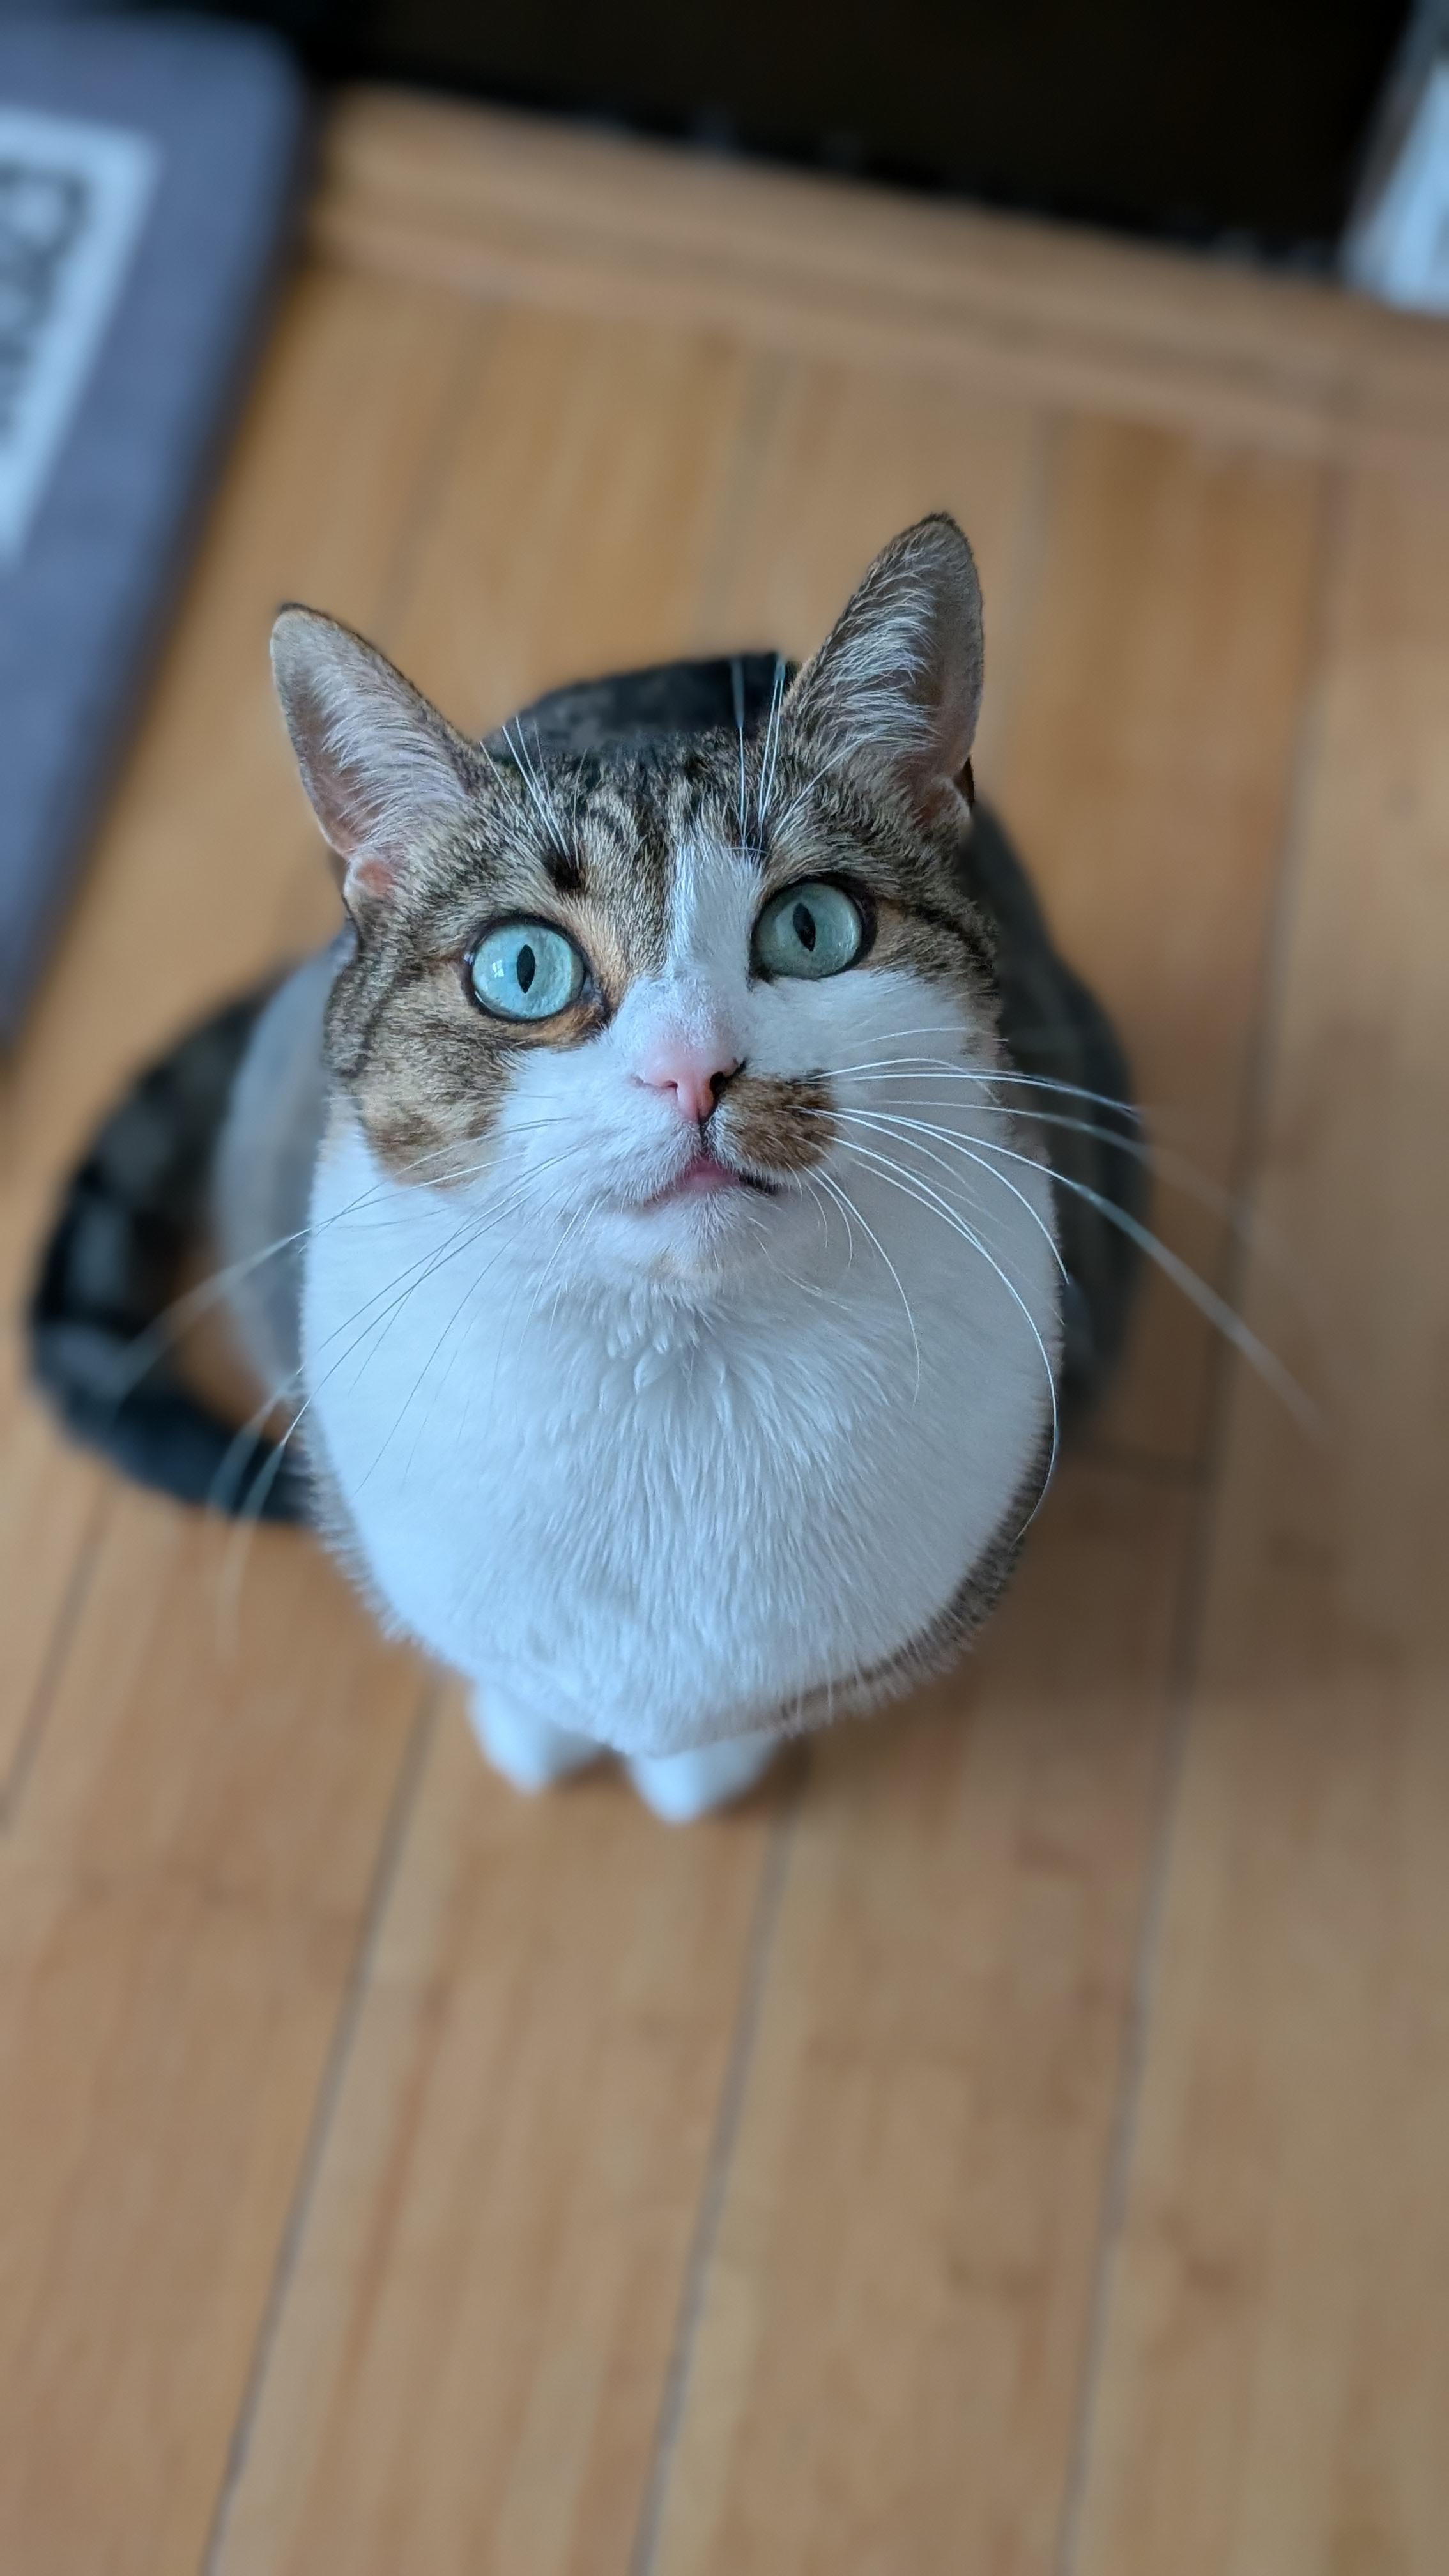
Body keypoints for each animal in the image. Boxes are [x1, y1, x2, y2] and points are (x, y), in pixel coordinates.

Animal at [32, 515, 1143, 1819]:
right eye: (524, 969)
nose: (693, 1070)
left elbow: (753, 1705)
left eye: (812, 928)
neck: (678, 1377)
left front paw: (697, 1769)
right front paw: (535, 1728)